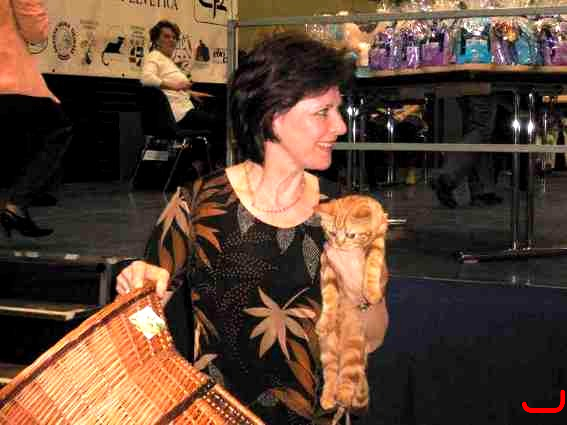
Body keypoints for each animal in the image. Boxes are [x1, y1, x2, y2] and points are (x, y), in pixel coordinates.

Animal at [314, 194, 388, 415]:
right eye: (332, 233)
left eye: (351, 234)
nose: (339, 243)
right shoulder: (327, 264)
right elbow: (329, 295)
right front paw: (326, 320)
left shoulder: (379, 237)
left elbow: (373, 262)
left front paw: (371, 291)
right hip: (327, 350)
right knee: (331, 375)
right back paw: (328, 398)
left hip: (353, 350)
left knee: (348, 378)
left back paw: (344, 396)